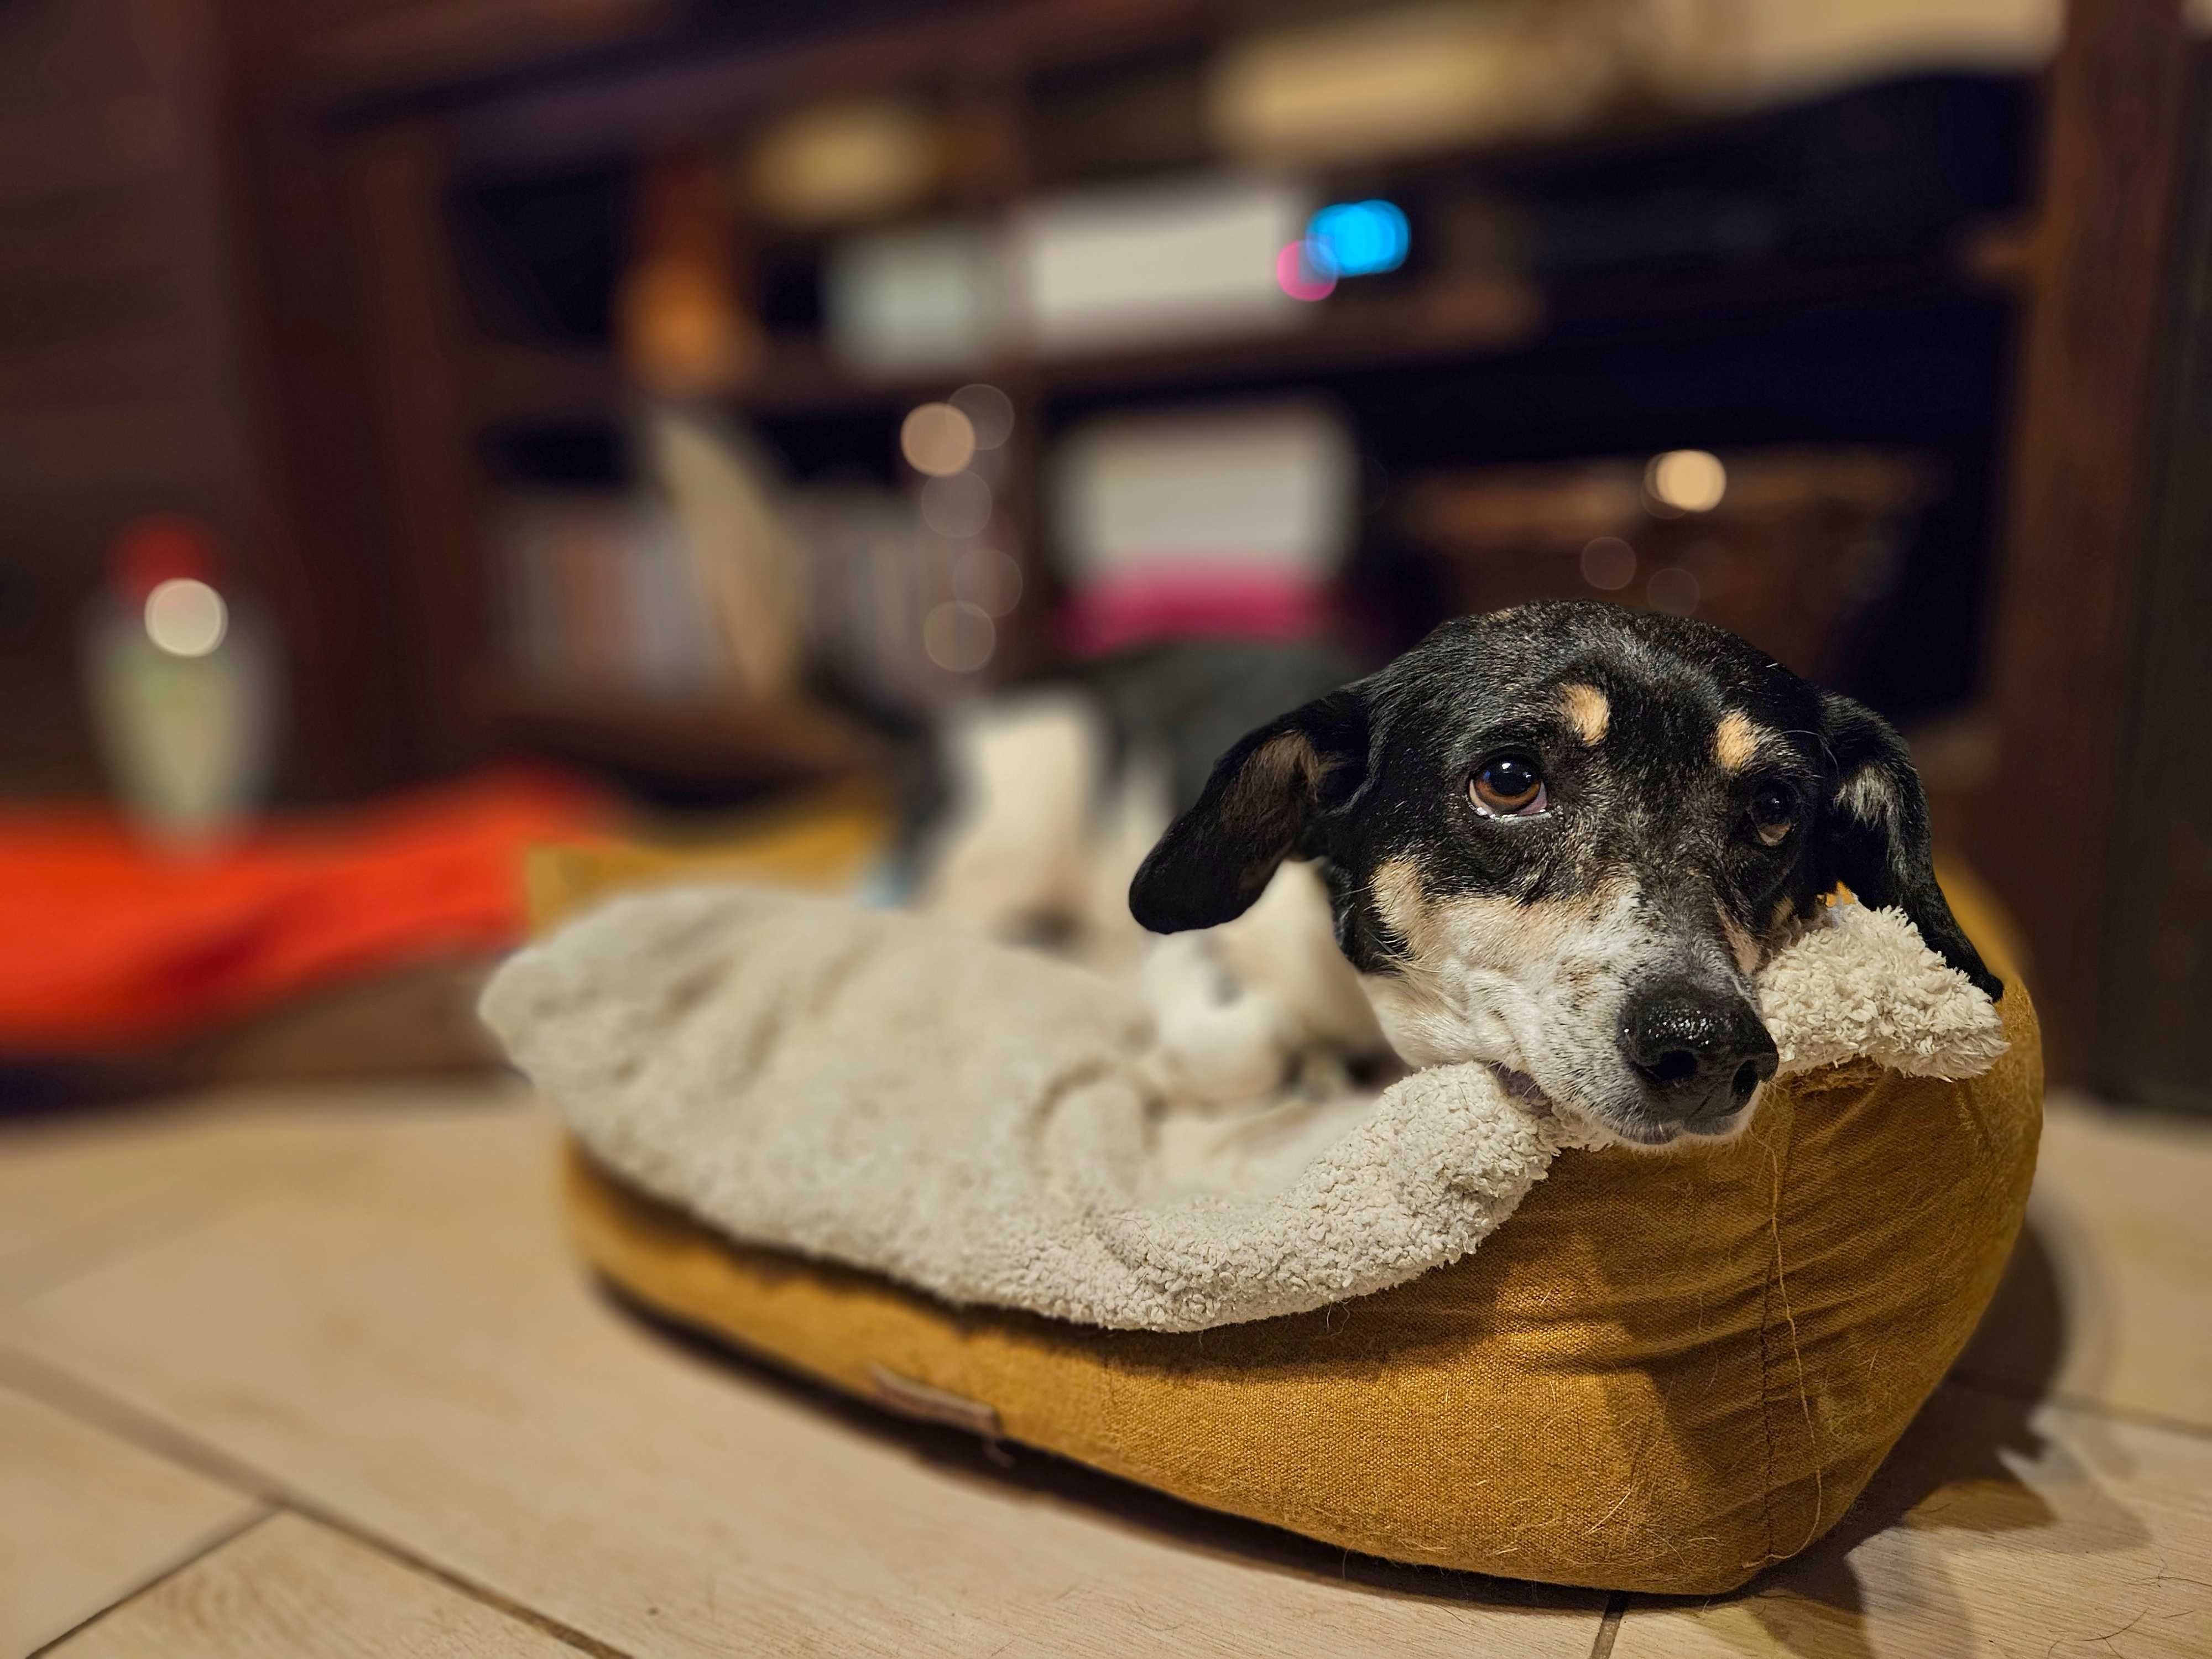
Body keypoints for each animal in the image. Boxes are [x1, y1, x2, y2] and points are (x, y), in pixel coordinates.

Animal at [916, 606, 1991, 1150]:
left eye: (1772, 809)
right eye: (1509, 780)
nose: (1711, 1047)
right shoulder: (1211, 957)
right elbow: (1235, 1042)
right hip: (1021, 805)